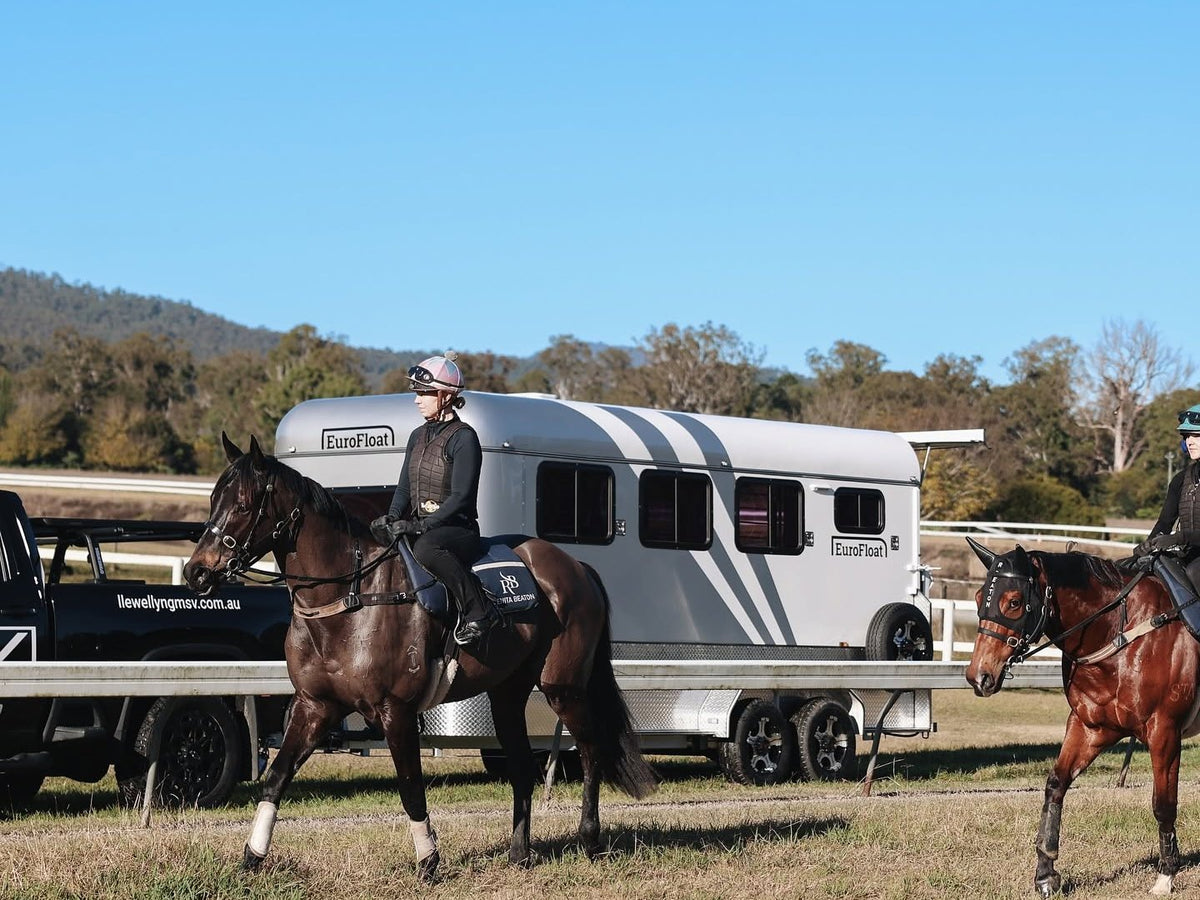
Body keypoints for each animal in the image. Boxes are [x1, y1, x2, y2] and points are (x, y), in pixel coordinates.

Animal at [183, 434, 657, 879]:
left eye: (243, 505)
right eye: (212, 500)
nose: (196, 572)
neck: (349, 599)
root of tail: (576, 567)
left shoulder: (396, 710)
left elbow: (411, 786)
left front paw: (428, 861)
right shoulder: (315, 706)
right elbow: (276, 778)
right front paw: (252, 857)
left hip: (564, 689)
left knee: (591, 751)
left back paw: (590, 840)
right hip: (507, 694)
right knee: (523, 767)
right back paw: (519, 854)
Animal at [963, 536, 1200, 897]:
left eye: (1014, 602)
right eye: (979, 598)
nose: (979, 676)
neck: (1120, 632)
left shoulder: (1164, 732)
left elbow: (1163, 803)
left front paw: (1166, 875)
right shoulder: (1090, 727)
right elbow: (1056, 784)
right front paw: (1046, 873)